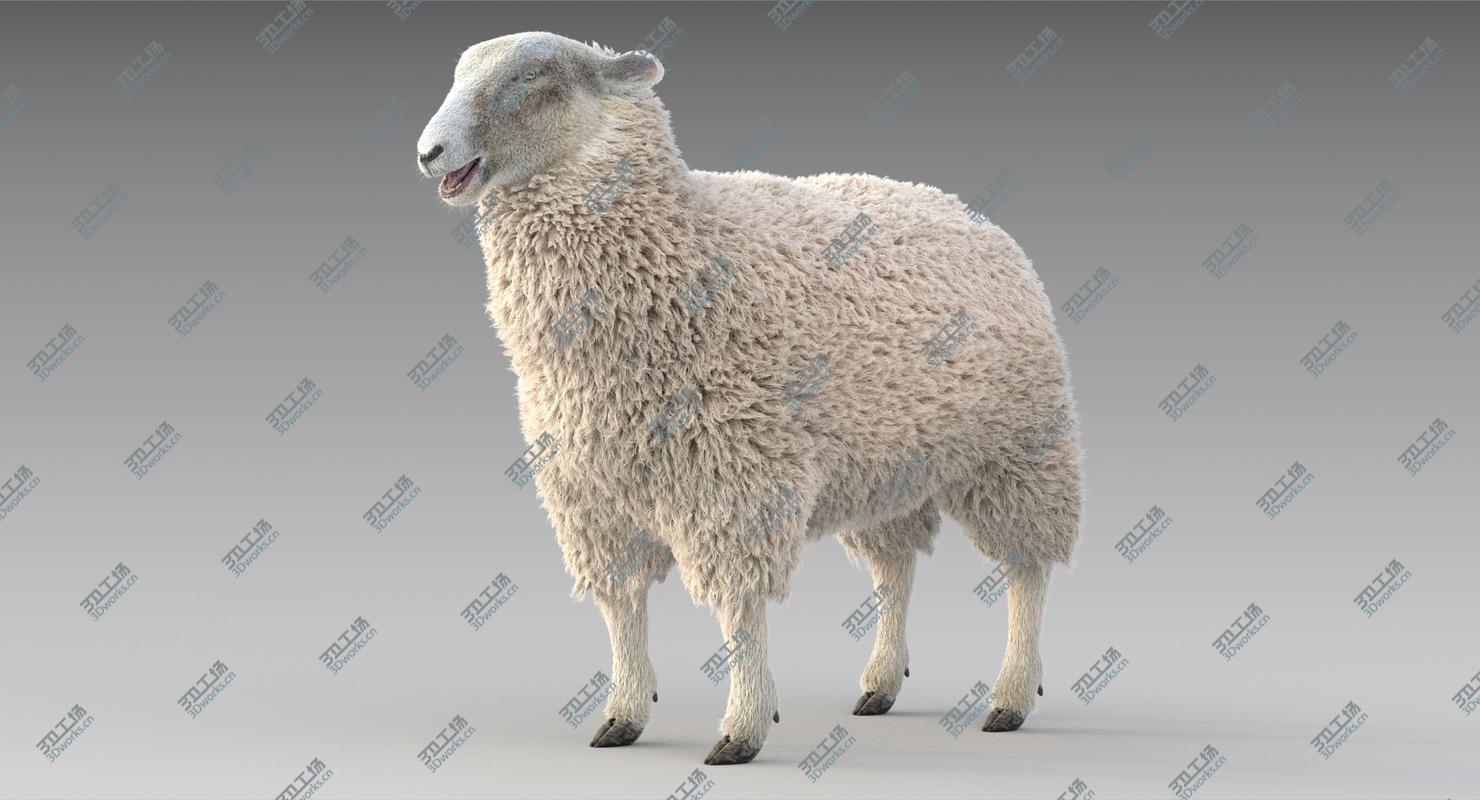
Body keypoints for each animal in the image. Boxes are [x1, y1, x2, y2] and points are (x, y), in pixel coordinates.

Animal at [416, 31, 1084, 765]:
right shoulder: (591, 493)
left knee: (1027, 570)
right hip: (887, 459)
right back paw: (881, 683)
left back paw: (1011, 695)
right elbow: (622, 607)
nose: (429, 151)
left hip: (1019, 447)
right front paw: (624, 713)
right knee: (895, 566)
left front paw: (743, 727)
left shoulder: (735, 480)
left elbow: (739, 610)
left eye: (532, 76)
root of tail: (960, 207)